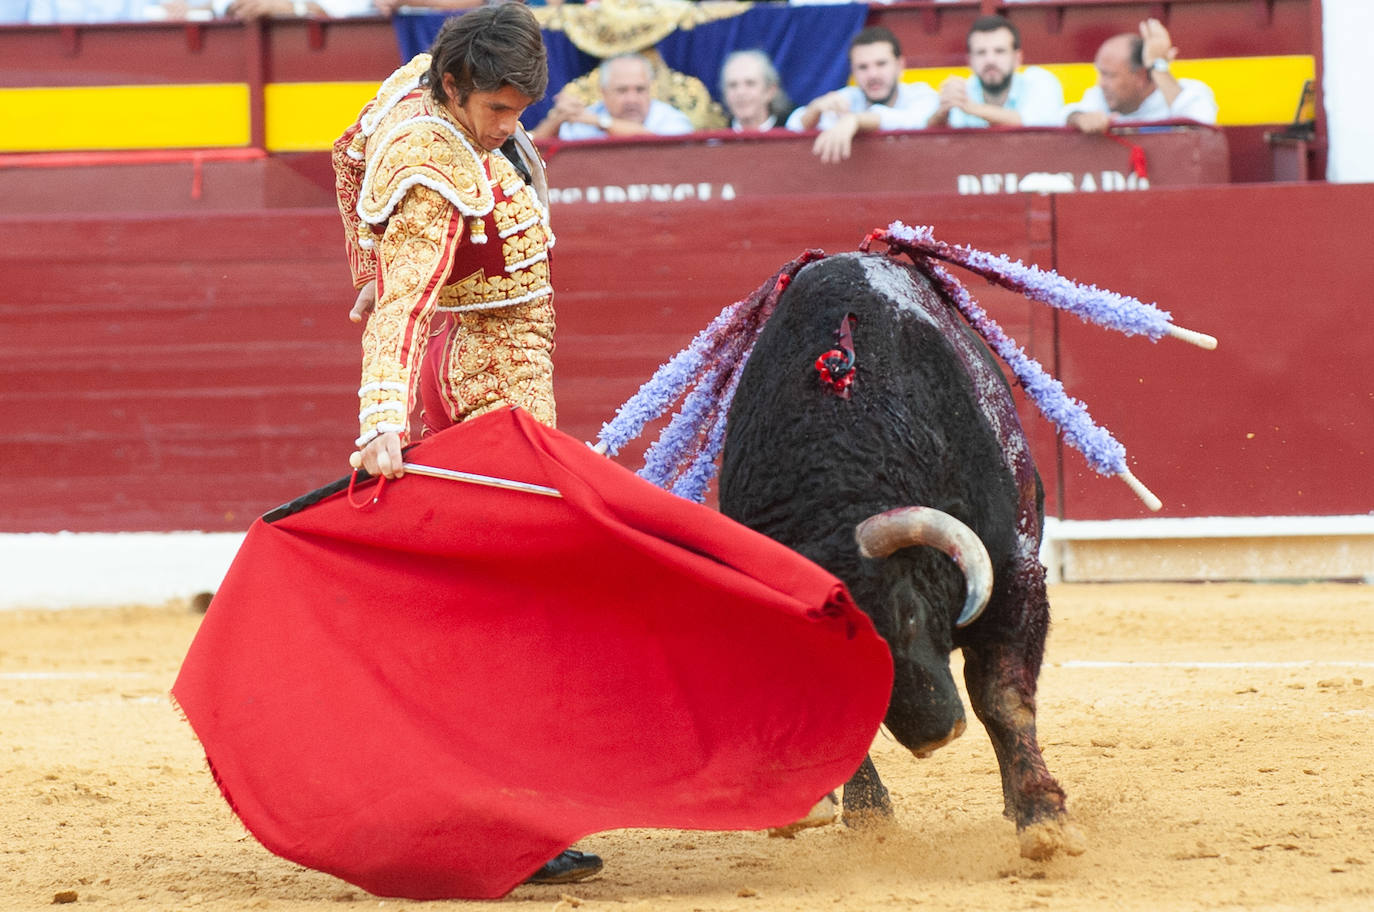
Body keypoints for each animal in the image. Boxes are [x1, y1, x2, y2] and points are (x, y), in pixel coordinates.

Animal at [719, 251, 1082, 862]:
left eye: (907, 613)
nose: (935, 734)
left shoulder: (1016, 574)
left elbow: (1003, 697)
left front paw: (1042, 819)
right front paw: (865, 816)